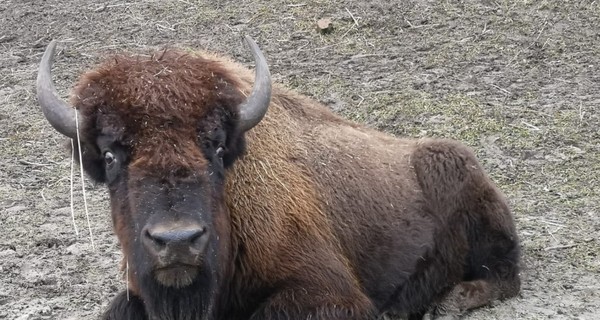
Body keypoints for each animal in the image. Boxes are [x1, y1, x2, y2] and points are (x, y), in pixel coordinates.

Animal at [36, 36, 520, 318]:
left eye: (216, 147)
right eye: (111, 154)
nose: (177, 241)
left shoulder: (328, 293)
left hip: (461, 186)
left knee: (504, 272)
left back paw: (452, 300)